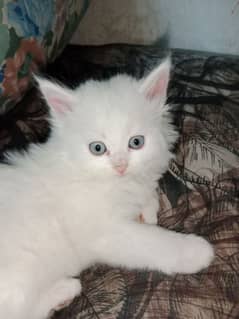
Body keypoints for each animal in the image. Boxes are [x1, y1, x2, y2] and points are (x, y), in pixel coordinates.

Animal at [0, 58, 214, 318]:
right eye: (98, 148)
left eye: (136, 142)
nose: (120, 166)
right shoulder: (106, 231)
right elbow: (152, 241)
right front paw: (196, 251)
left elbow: (146, 195)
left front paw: (148, 210)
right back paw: (65, 289)